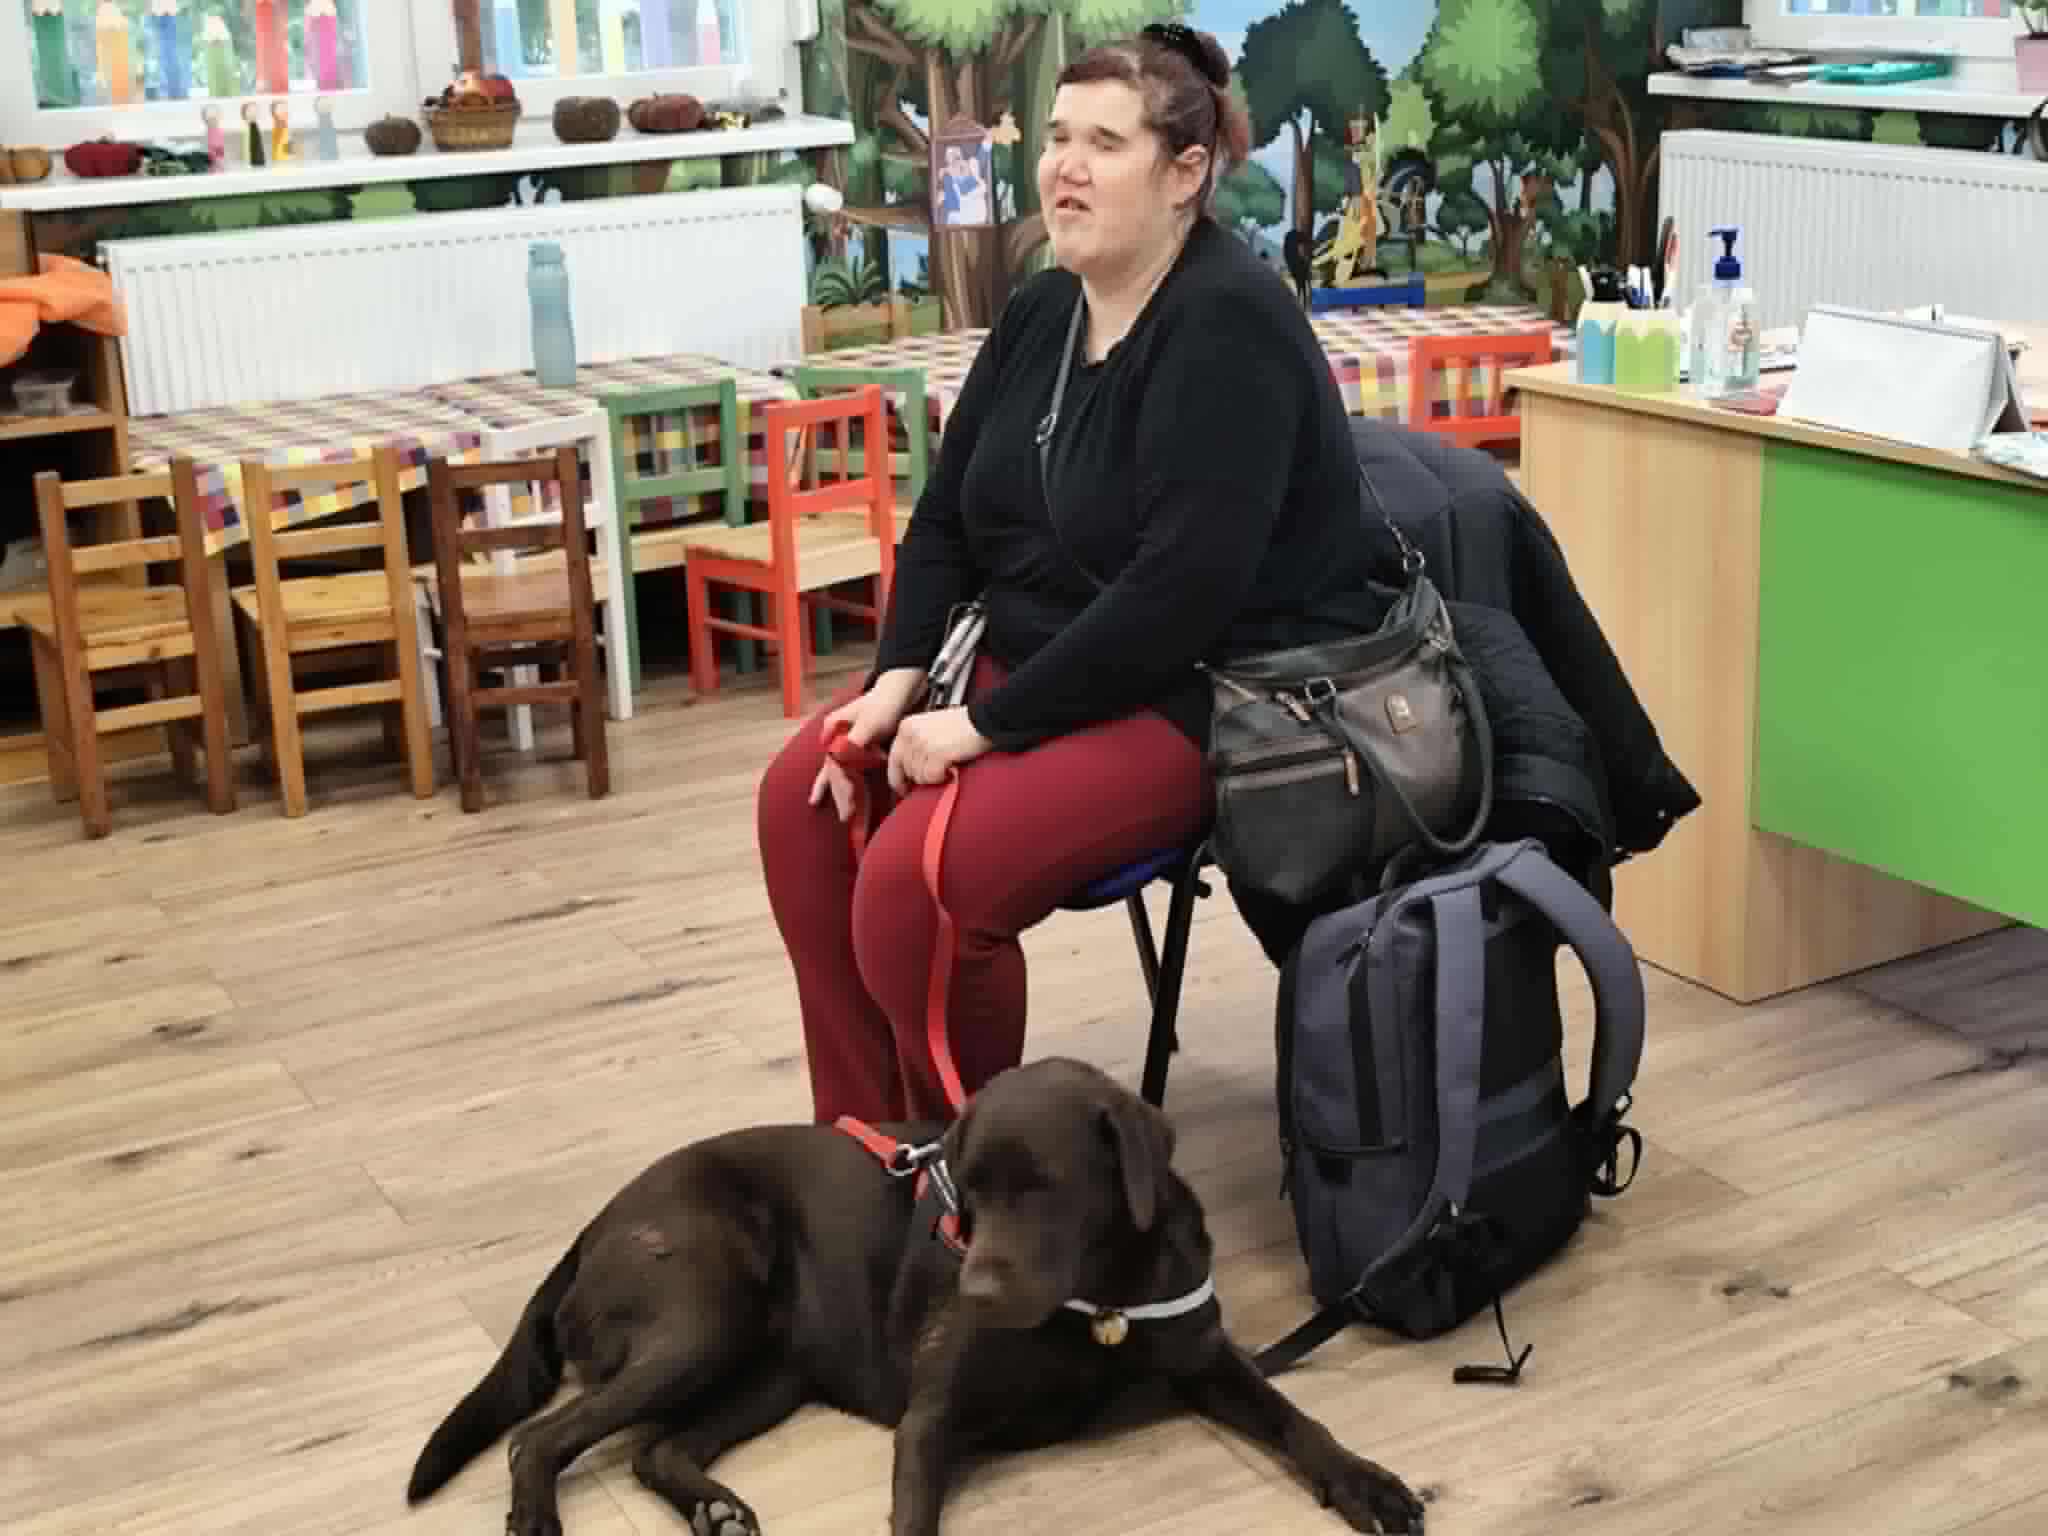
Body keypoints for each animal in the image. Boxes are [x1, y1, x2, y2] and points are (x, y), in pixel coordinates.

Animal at [405, 1056, 1425, 1535]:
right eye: (967, 1188)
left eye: (1048, 1187)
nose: (973, 1285)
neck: (1098, 1305)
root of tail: (595, 1225)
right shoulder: (933, 1415)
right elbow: (915, 1511)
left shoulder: (1207, 1356)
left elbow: (1297, 1420)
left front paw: (1369, 1484)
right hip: (704, 1319)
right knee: (541, 1437)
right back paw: (539, 1514)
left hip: (769, 1370)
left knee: (659, 1449)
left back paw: (717, 1508)